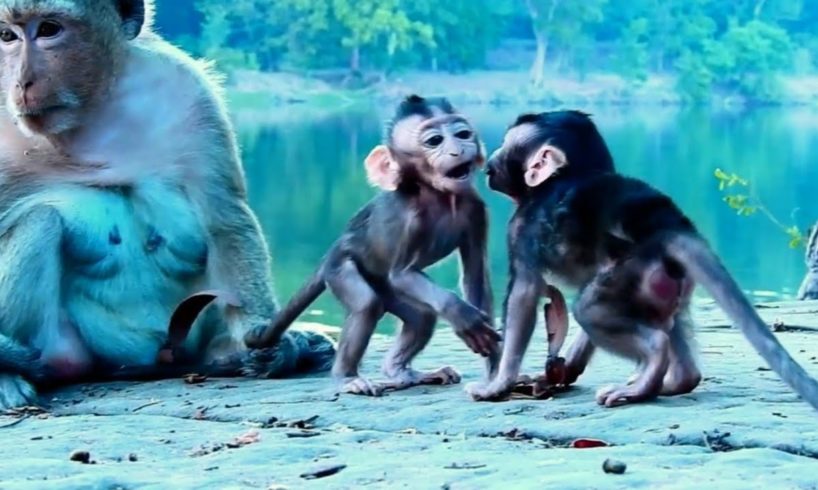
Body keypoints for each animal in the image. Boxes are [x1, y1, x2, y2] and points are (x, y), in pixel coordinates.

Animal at [0, 0, 334, 409]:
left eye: (49, 29)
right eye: (7, 36)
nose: (21, 82)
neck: (92, 116)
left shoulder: (188, 92)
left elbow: (225, 218)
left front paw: (268, 346)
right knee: (41, 220)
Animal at [245, 95, 501, 397]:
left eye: (462, 133)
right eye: (435, 140)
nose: (458, 149)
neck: (440, 197)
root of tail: (333, 249)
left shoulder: (475, 209)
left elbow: (476, 278)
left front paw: (495, 371)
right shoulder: (413, 222)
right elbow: (403, 273)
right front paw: (461, 314)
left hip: (383, 284)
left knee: (421, 316)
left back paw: (403, 372)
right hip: (339, 269)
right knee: (367, 304)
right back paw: (347, 377)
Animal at [466, 110, 818, 410]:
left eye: (506, 145)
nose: (490, 160)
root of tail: (669, 225)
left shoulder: (521, 229)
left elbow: (525, 293)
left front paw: (498, 383)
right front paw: (565, 369)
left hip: (632, 270)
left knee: (594, 310)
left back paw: (647, 375)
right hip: (668, 276)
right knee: (664, 318)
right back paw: (678, 380)